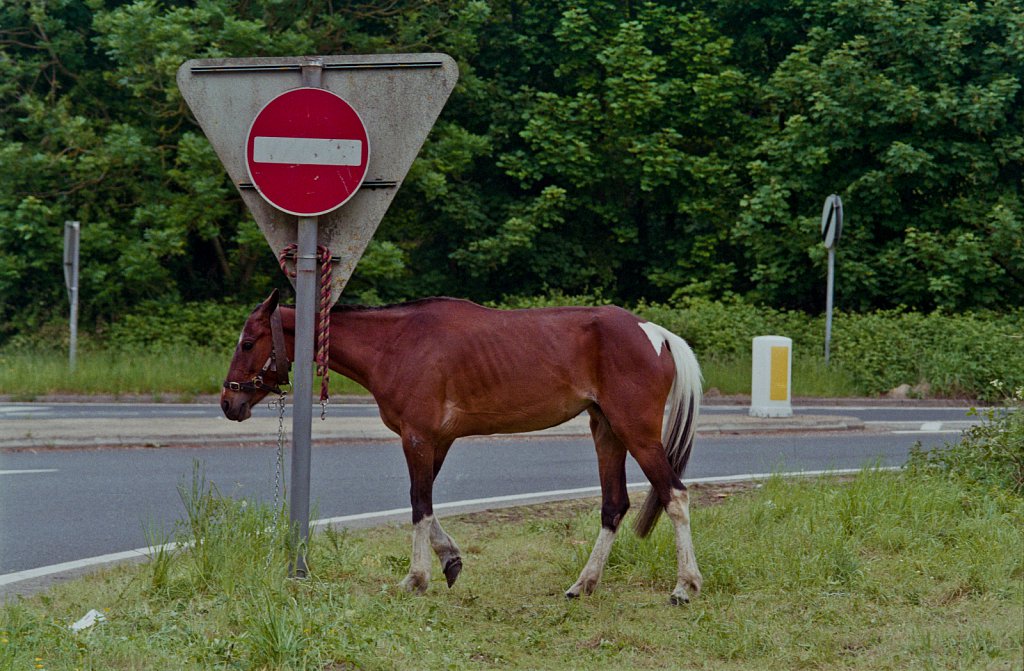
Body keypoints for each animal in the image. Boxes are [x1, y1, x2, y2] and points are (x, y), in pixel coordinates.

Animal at [222, 290, 704, 606]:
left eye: (247, 343)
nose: (229, 402)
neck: (399, 344)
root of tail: (655, 333)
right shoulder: (437, 442)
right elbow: (424, 506)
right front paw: (449, 560)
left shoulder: (417, 438)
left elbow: (419, 504)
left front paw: (416, 579)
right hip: (607, 433)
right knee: (613, 506)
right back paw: (583, 585)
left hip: (636, 434)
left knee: (675, 496)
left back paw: (685, 586)